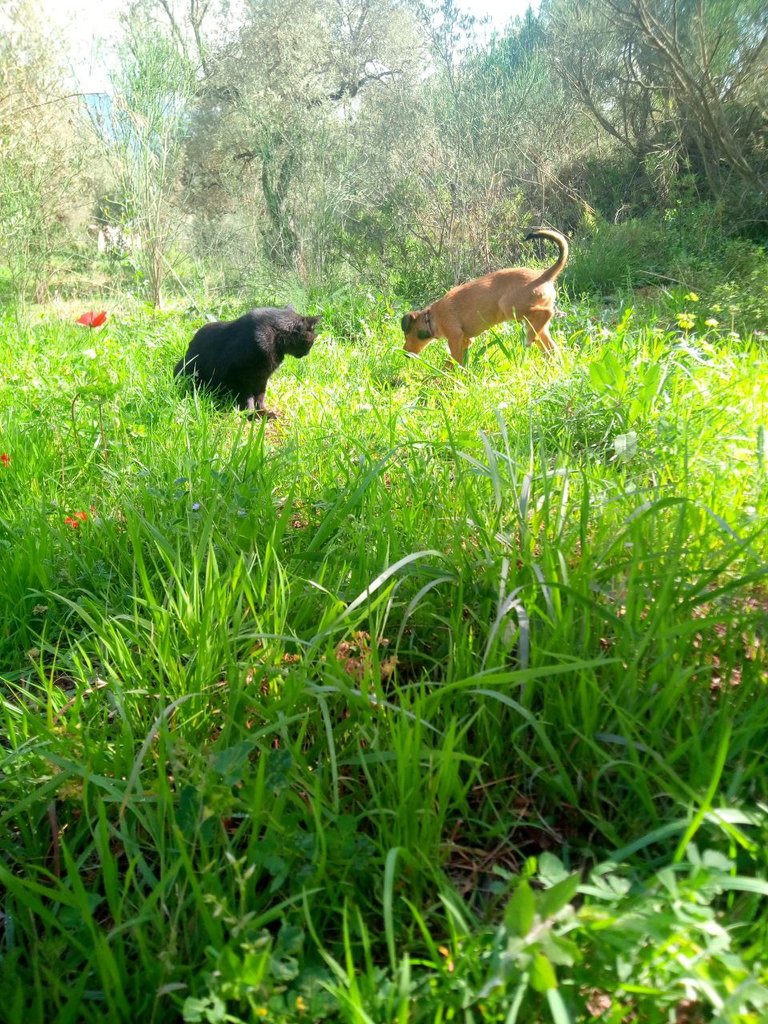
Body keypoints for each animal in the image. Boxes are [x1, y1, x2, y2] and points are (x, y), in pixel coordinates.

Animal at [174, 303, 321, 415]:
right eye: (312, 341)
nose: (308, 353)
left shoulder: (262, 378)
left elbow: (261, 397)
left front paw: (263, 412)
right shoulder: (241, 378)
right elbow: (248, 397)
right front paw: (250, 414)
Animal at [403, 228, 573, 364]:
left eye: (406, 335)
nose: (404, 352)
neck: (431, 318)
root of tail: (543, 276)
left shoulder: (455, 336)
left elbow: (455, 360)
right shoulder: (466, 340)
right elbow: (453, 359)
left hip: (510, 307)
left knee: (547, 312)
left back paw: (529, 338)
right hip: (536, 326)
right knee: (550, 346)